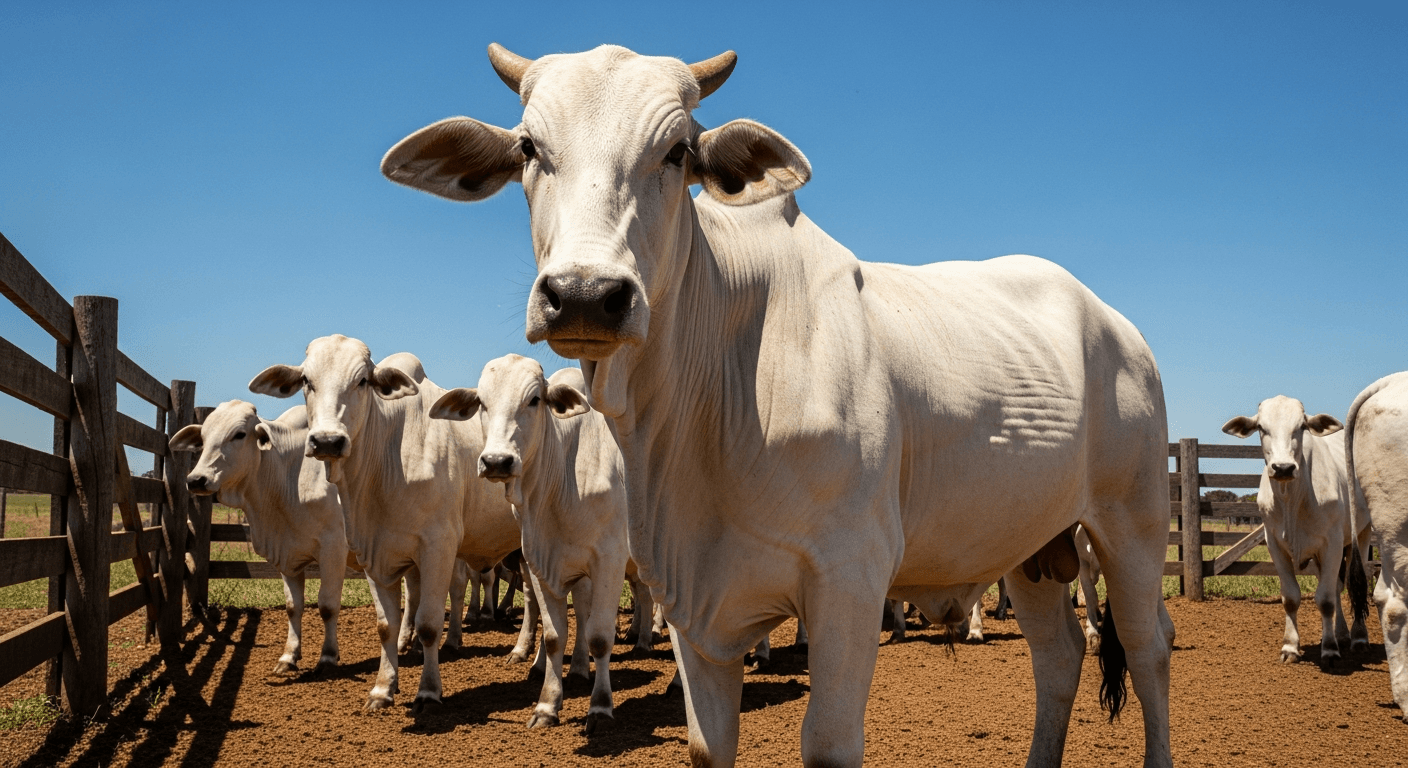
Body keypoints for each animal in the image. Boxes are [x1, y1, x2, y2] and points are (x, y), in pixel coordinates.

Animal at [170, 400, 353, 676]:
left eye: (239, 434)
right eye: (203, 437)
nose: (196, 480)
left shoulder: (333, 549)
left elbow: (328, 606)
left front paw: (328, 657)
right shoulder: (287, 555)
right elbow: (293, 607)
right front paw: (288, 656)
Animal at [250, 339, 520, 713]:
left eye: (363, 381)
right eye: (306, 380)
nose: (328, 441)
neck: (389, 457)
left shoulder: (438, 548)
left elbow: (429, 624)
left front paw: (428, 691)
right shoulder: (373, 553)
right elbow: (386, 626)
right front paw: (382, 688)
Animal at [430, 357, 633, 733]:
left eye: (535, 399)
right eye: (481, 403)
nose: (497, 461)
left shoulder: (609, 561)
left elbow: (600, 636)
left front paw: (600, 707)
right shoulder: (540, 563)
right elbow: (554, 635)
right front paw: (547, 705)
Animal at [1222, 395, 1372, 663]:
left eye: (1301, 426)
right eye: (1261, 428)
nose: (1283, 468)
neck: (1292, 499)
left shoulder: (1332, 543)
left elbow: (1325, 600)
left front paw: (1330, 650)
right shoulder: (1275, 545)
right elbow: (1292, 597)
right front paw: (1290, 647)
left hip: (1362, 534)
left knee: (1355, 582)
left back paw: (1358, 638)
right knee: (1336, 587)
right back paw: (1341, 634)